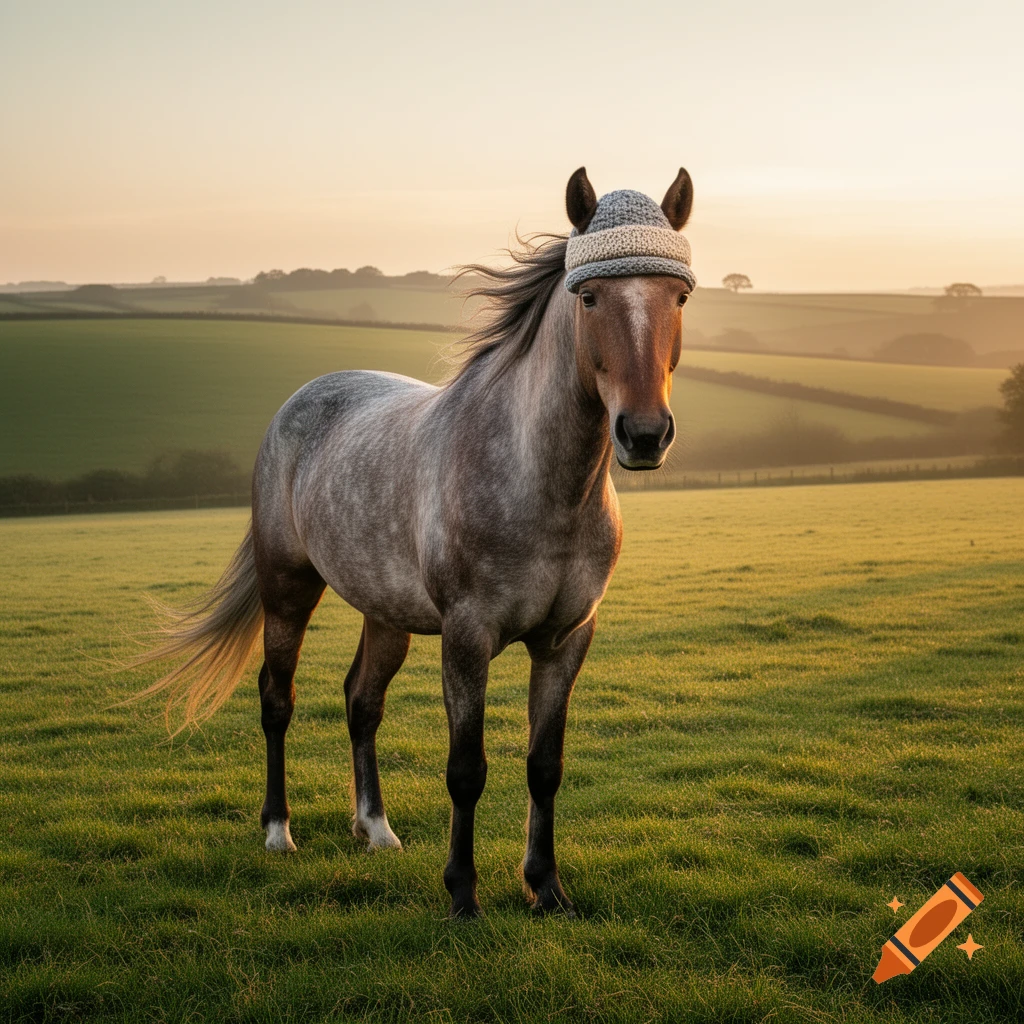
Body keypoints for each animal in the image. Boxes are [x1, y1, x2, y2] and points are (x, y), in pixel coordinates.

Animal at [135, 166, 695, 918]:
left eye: (679, 296)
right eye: (589, 295)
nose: (644, 434)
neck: (543, 484)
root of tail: (301, 400)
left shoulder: (567, 638)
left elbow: (544, 766)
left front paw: (547, 888)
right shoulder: (467, 636)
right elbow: (466, 769)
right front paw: (463, 895)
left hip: (386, 613)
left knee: (360, 701)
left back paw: (375, 829)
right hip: (288, 590)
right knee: (277, 698)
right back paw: (279, 833)